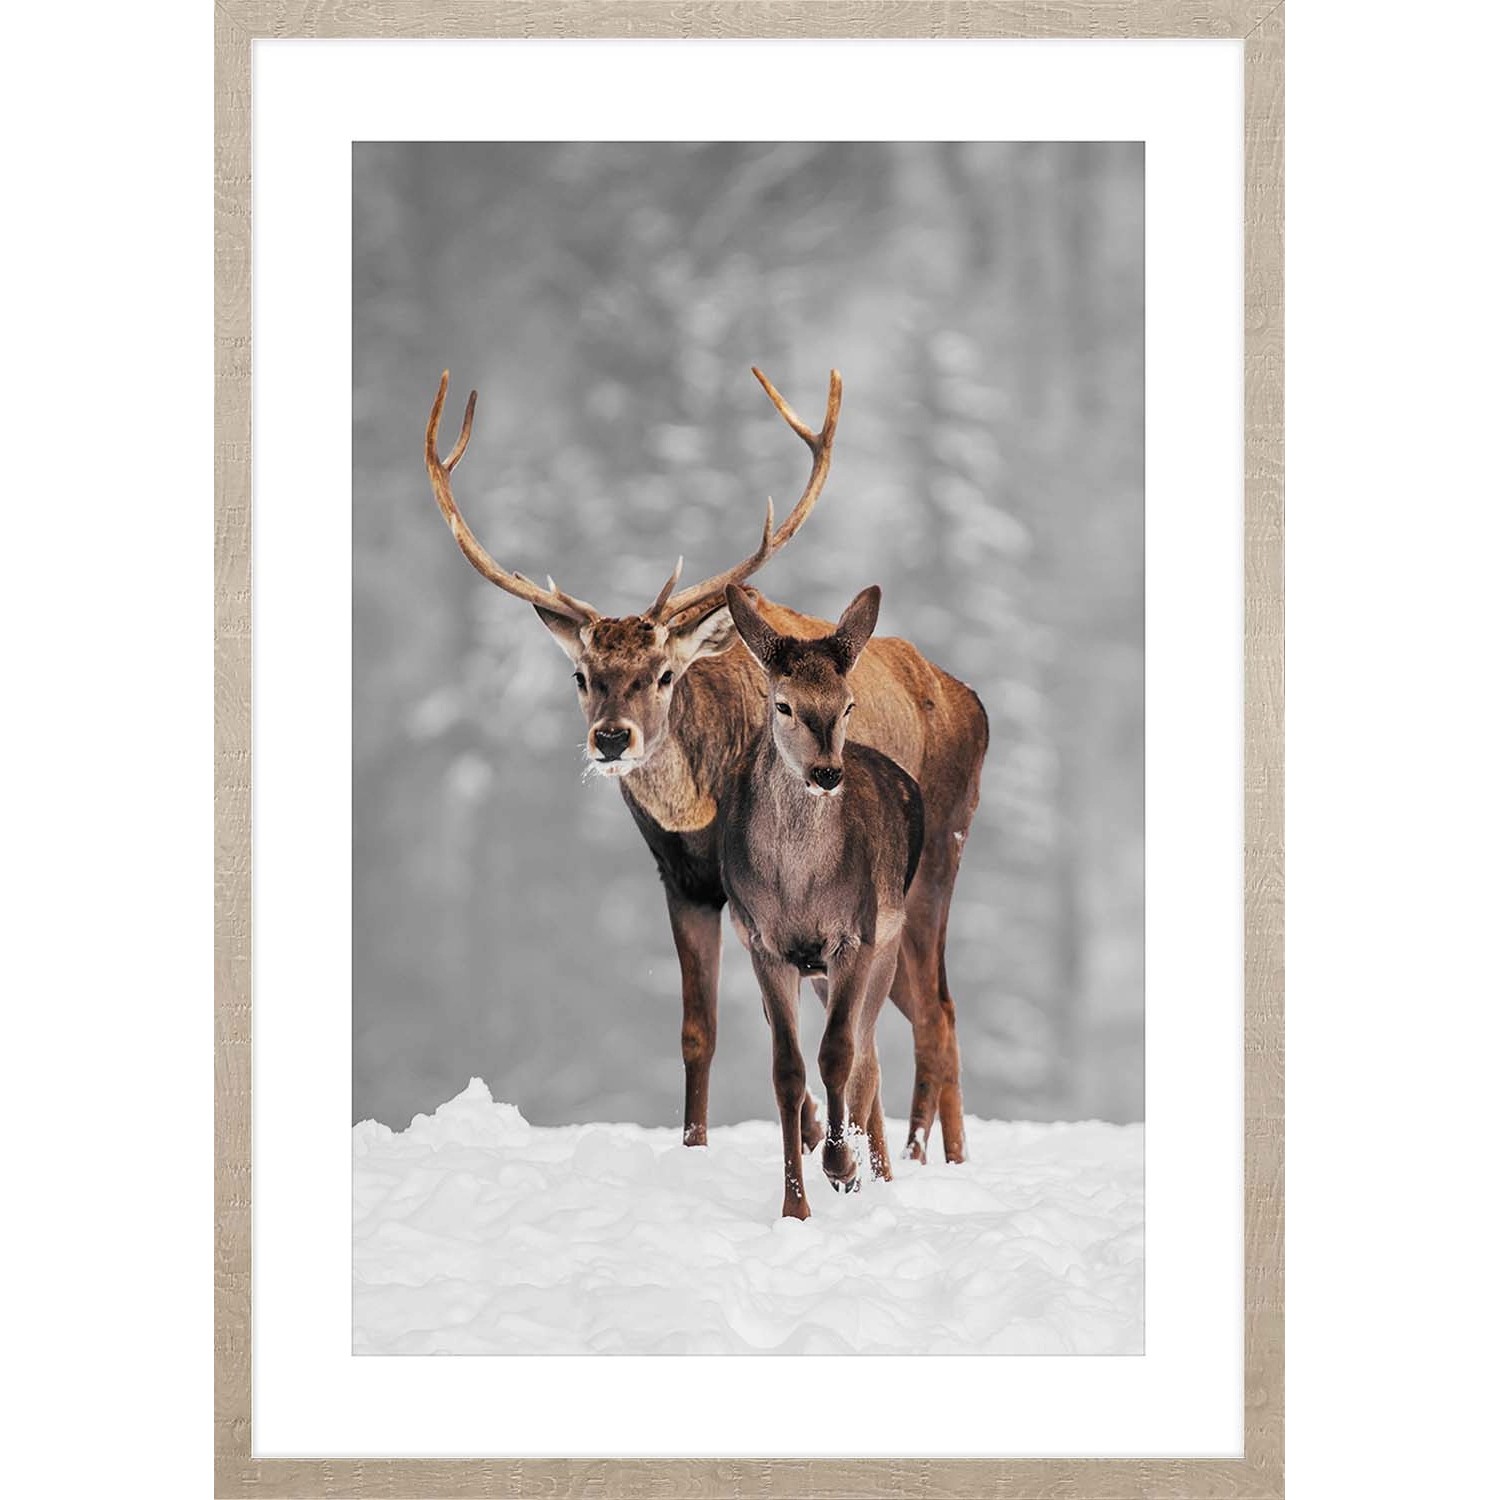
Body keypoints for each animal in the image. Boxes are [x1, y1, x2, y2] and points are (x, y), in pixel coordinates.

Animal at [719, 584, 922, 1217]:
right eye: (783, 704)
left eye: (848, 703)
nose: (827, 772)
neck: (799, 885)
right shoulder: (763, 943)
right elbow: (787, 1070)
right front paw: (794, 1207)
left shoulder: (854, 935)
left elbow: (837, 1054)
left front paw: (841, 1164)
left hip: (887, 944)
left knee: (867, 1059)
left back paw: (873, 1173)